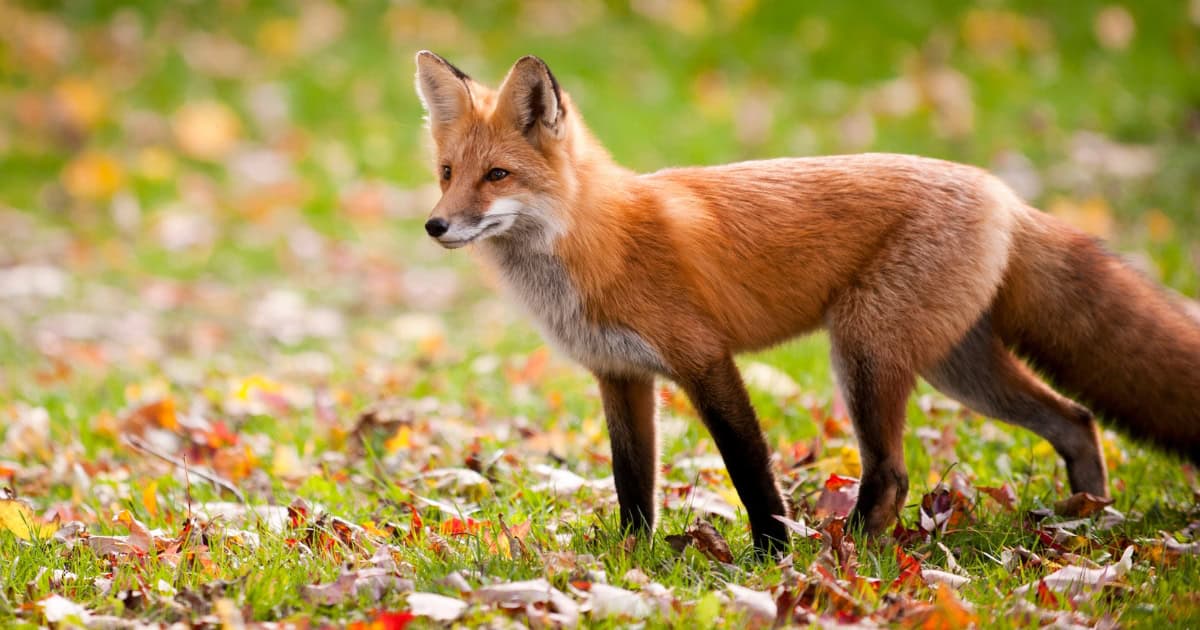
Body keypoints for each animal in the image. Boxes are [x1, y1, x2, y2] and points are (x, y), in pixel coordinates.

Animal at [414, 50, 1200, 554]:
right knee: (1076, 419)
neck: (595, 241)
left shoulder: (704, 360)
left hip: (864, 353)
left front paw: (770, 553)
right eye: (448, 173)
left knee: (893, 474)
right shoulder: (621, 375)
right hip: (957, 369)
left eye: (497, 175)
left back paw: (843, 554)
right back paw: (1085, 517)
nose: (435, 226)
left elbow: (749, 468)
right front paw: (632, 558)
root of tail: (1001, 192)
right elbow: (631, 480)